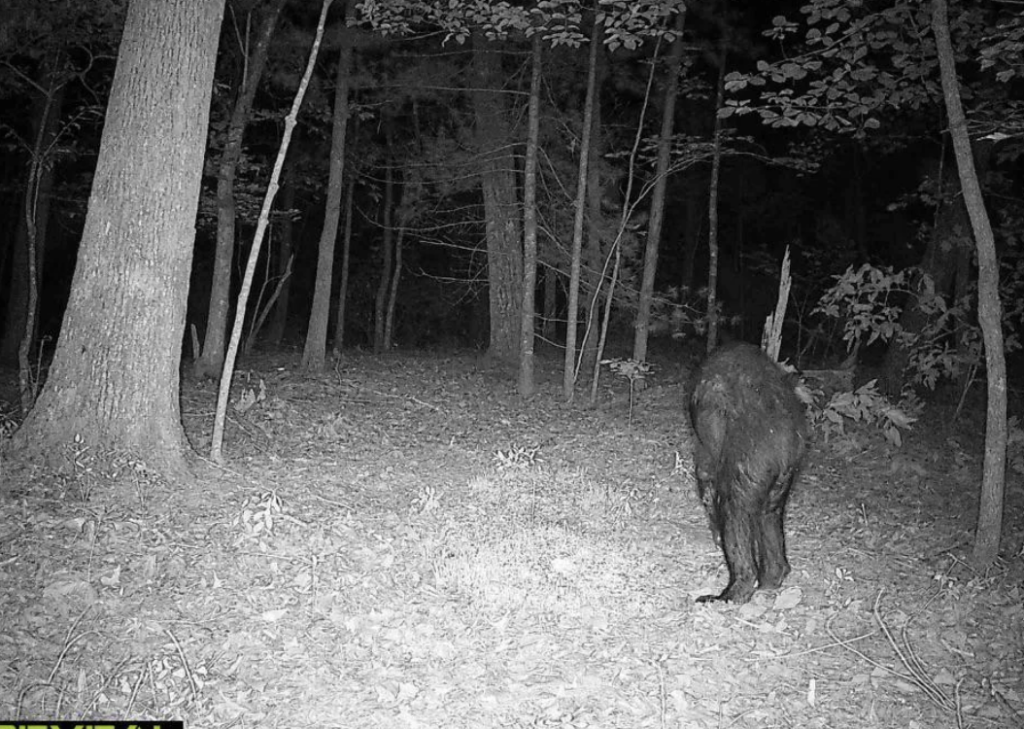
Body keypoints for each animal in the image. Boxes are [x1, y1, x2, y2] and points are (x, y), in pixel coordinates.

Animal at [688, 341, 806, 602]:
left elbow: (707, 472)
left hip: (751, 466)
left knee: (735, 510)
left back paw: (734, 590)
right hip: (784, 476)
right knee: (770, 514)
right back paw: (772, 577)